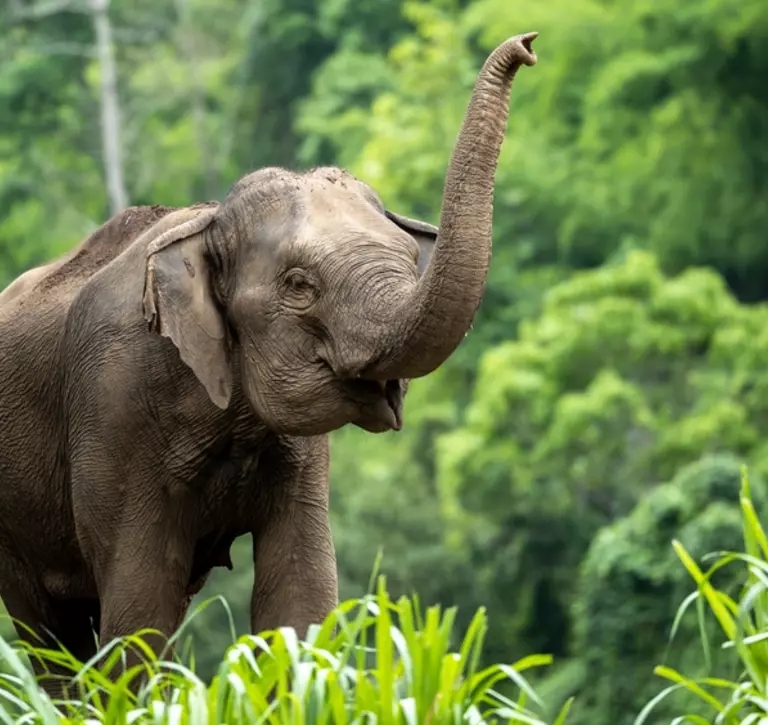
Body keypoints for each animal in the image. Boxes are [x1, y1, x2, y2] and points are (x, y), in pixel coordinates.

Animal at [0, 31, 540, 692]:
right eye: (299, 285)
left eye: (410, 258)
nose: (528, 45)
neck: (206, 221)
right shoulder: (114, 404)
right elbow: (139, 609)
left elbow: (299, 593)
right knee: (50, 636)